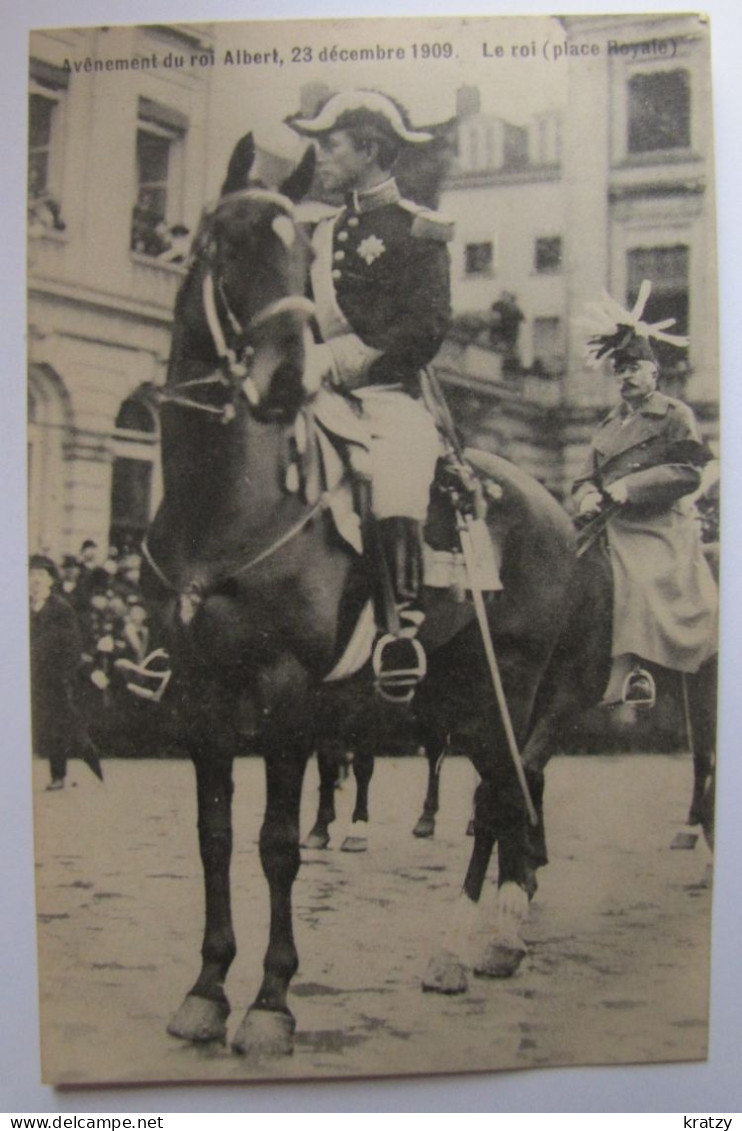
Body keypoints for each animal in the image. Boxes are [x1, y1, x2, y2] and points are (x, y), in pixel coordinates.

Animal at [140, 136, 579, 1054]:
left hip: (504, 684)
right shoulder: (200, 692)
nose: (284, 381)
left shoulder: (285, 691)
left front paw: (271, 1001)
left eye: (301, 257)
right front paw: (206, 989)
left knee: (503, 793)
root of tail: (551, 500)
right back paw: (479, 940)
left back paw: (480, 939)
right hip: (452, 685)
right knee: (499, 794)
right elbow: (213, 836)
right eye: (223, 243)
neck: (226, 501)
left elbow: (276, 843)